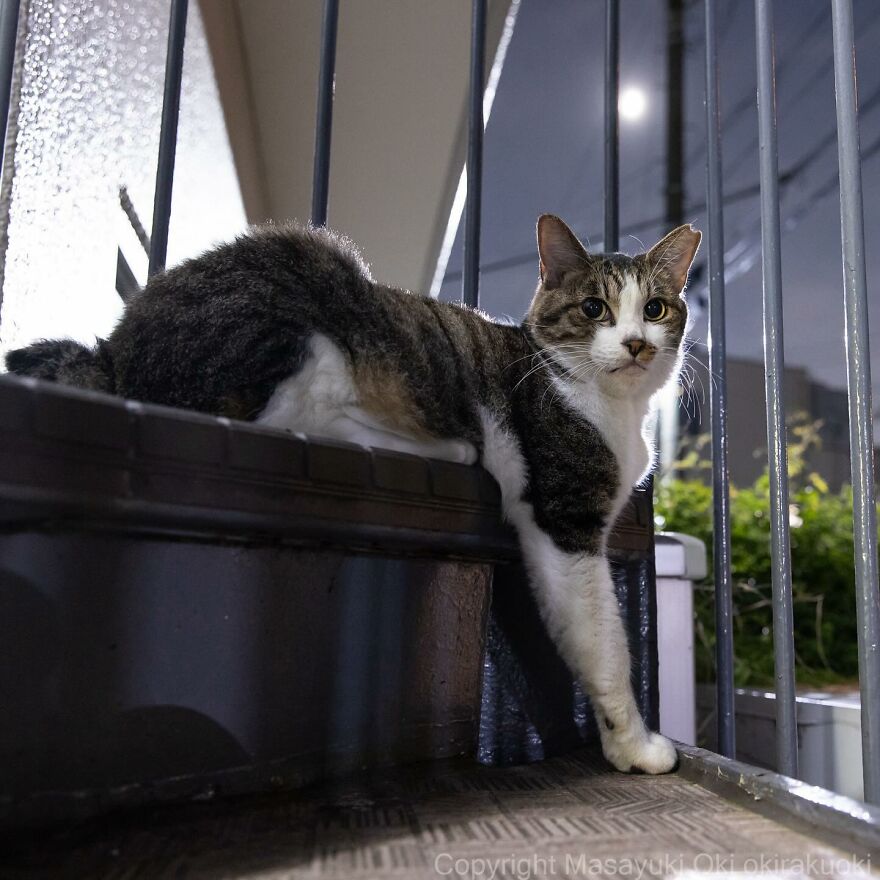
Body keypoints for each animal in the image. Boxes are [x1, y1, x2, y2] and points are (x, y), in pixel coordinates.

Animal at [3, 217, 696, 772]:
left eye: (656, 309)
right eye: (594, 309)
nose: (637, 344)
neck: (613, 408)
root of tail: (112, 352)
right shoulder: (564, 516)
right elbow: (605, 642)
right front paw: (636, 747)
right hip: (313, 288)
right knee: (293, 413)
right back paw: (449, 446)